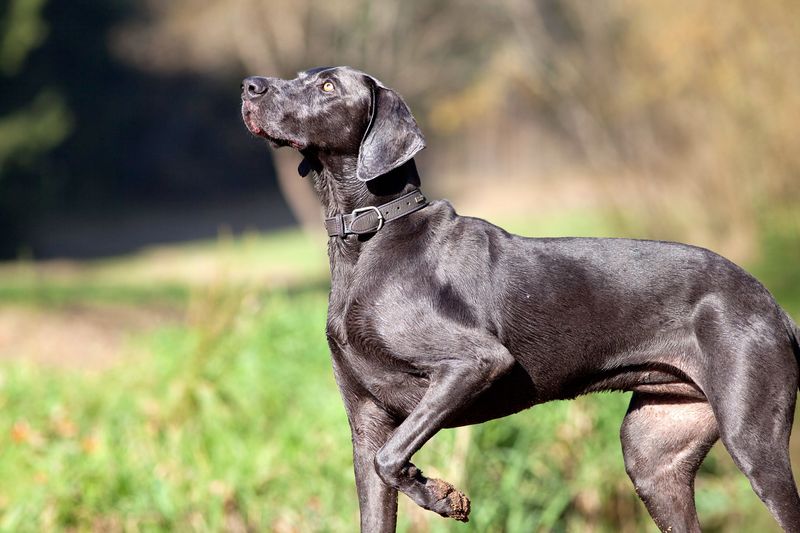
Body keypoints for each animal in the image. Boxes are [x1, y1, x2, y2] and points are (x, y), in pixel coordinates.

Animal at [242, 66, 800, 532]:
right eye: (300, 75)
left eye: (327, 86)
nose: (249, 86)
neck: (371, 235)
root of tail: (776, 307)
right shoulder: (366, 422)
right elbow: (378, 480)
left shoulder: (474, 362)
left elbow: (393, 459)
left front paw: (442, 496)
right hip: (653, 454)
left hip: (753, 440)